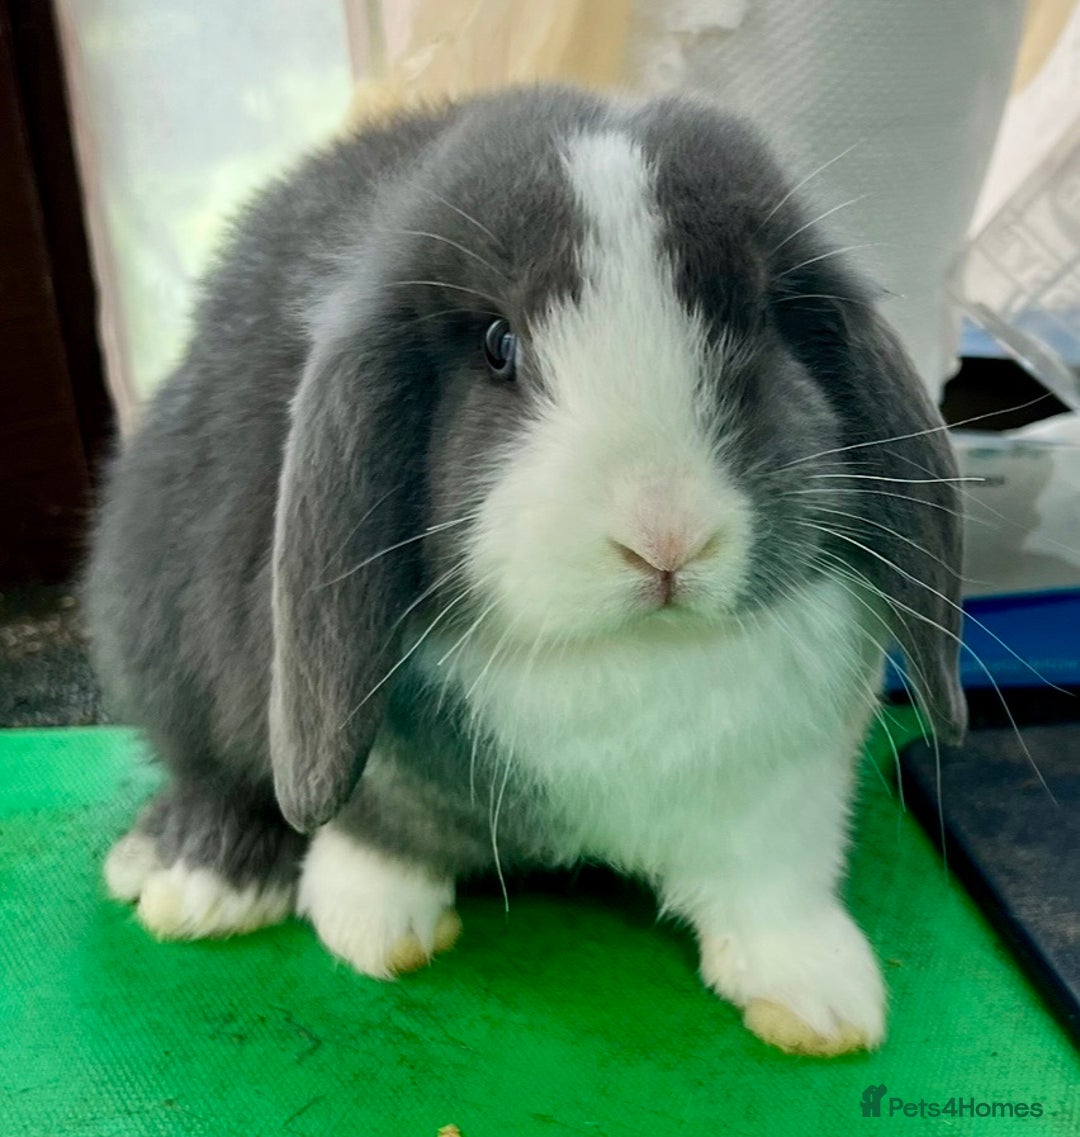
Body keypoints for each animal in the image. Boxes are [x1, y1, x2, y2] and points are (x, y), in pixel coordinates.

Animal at [86, 85, 966, 1057]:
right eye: (499, 345)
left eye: (754, 320)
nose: (664, 535)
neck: (630, 658)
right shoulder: (362, 760)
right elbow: (373, 835)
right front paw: (374, 929)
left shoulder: (788, 795)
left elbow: (774, 891)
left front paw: (822, 1003)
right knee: (207, 770)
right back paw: (201, 881)